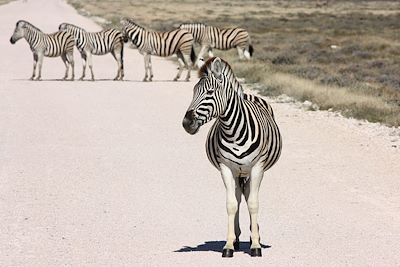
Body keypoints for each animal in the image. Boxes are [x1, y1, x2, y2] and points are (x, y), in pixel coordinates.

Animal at [181, 57, 282, 258]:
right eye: (193, 91)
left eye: (210, 92)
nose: (186, 123)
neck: (233, 131)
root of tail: (249, 95)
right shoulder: (226, 168)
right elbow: (231, 204)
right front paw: (228, 245)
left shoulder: (257, 167)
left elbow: (253, 203)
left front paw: (256, 245)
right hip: (238, 172)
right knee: (238, 196)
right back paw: (236, 238)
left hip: (250, 171)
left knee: (248, 195)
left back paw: (253, 235)